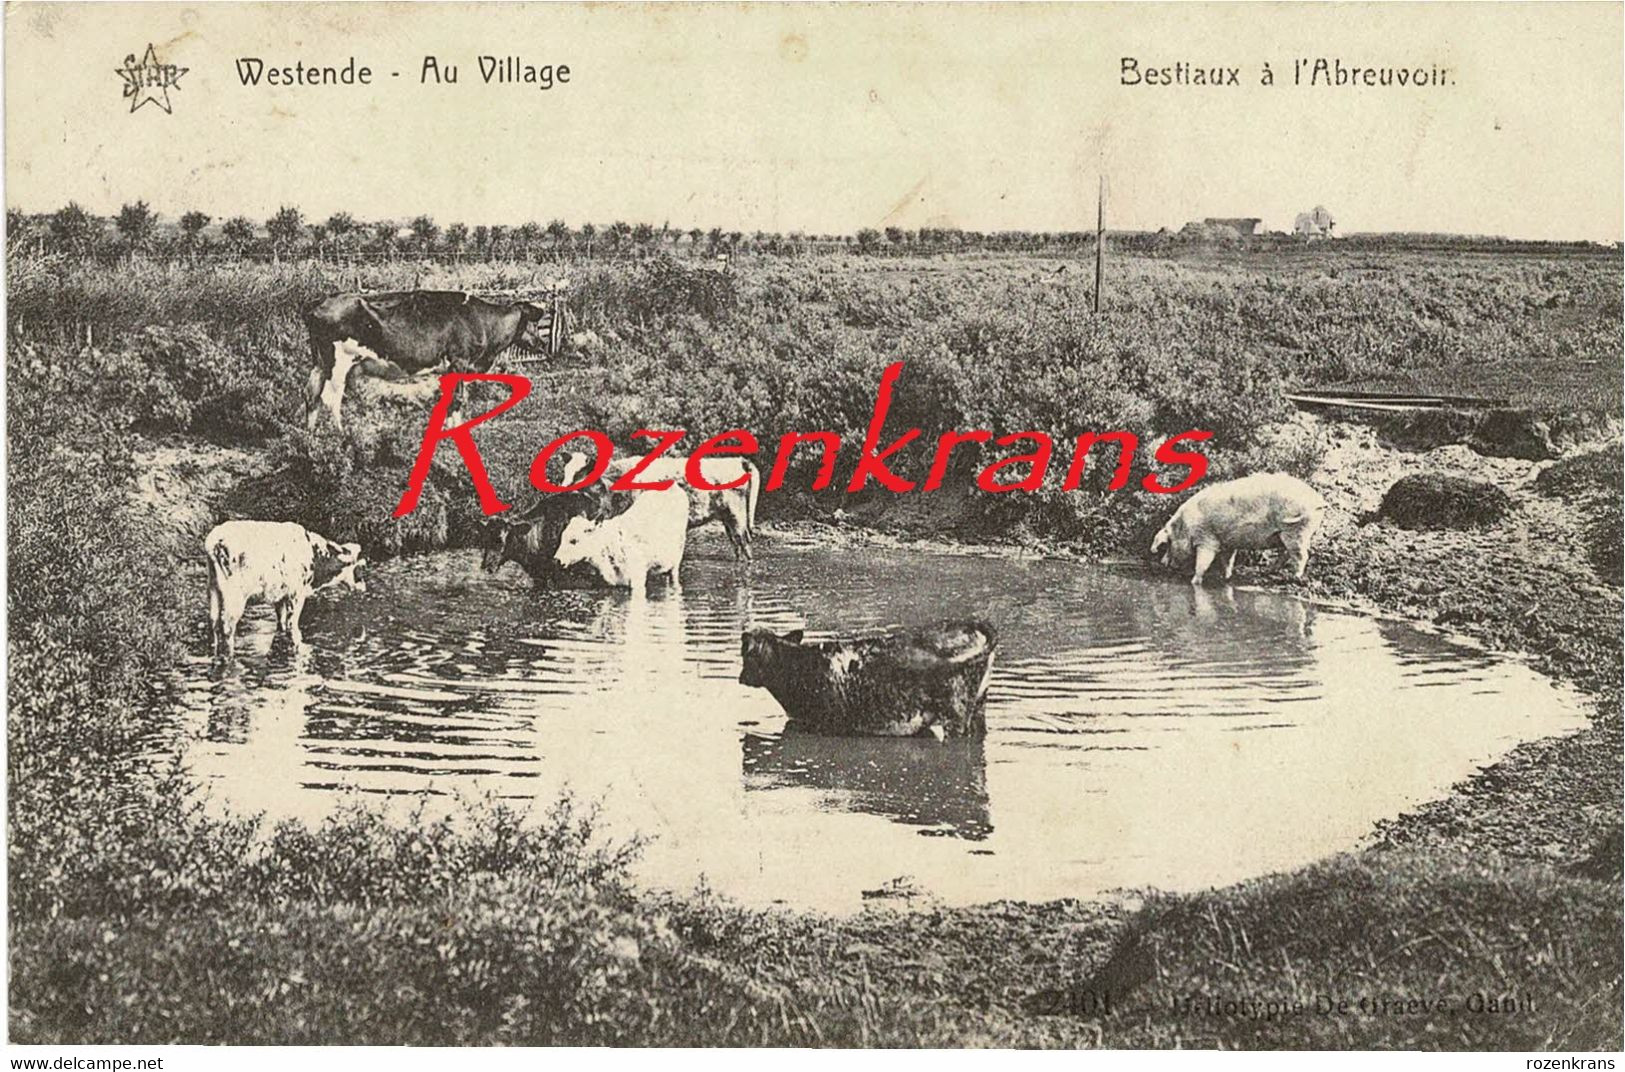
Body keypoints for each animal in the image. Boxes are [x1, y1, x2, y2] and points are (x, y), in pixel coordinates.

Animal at [305, 292, 552, 432]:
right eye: (534, 323)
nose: (543, 344)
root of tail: (318, 303)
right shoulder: (459, 361)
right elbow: (458, 399)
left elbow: (449, 399)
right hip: (338, 363)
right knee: (331, 399)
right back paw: (341, 435)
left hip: (320, 363)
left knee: (312, 395)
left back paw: (311, 437)